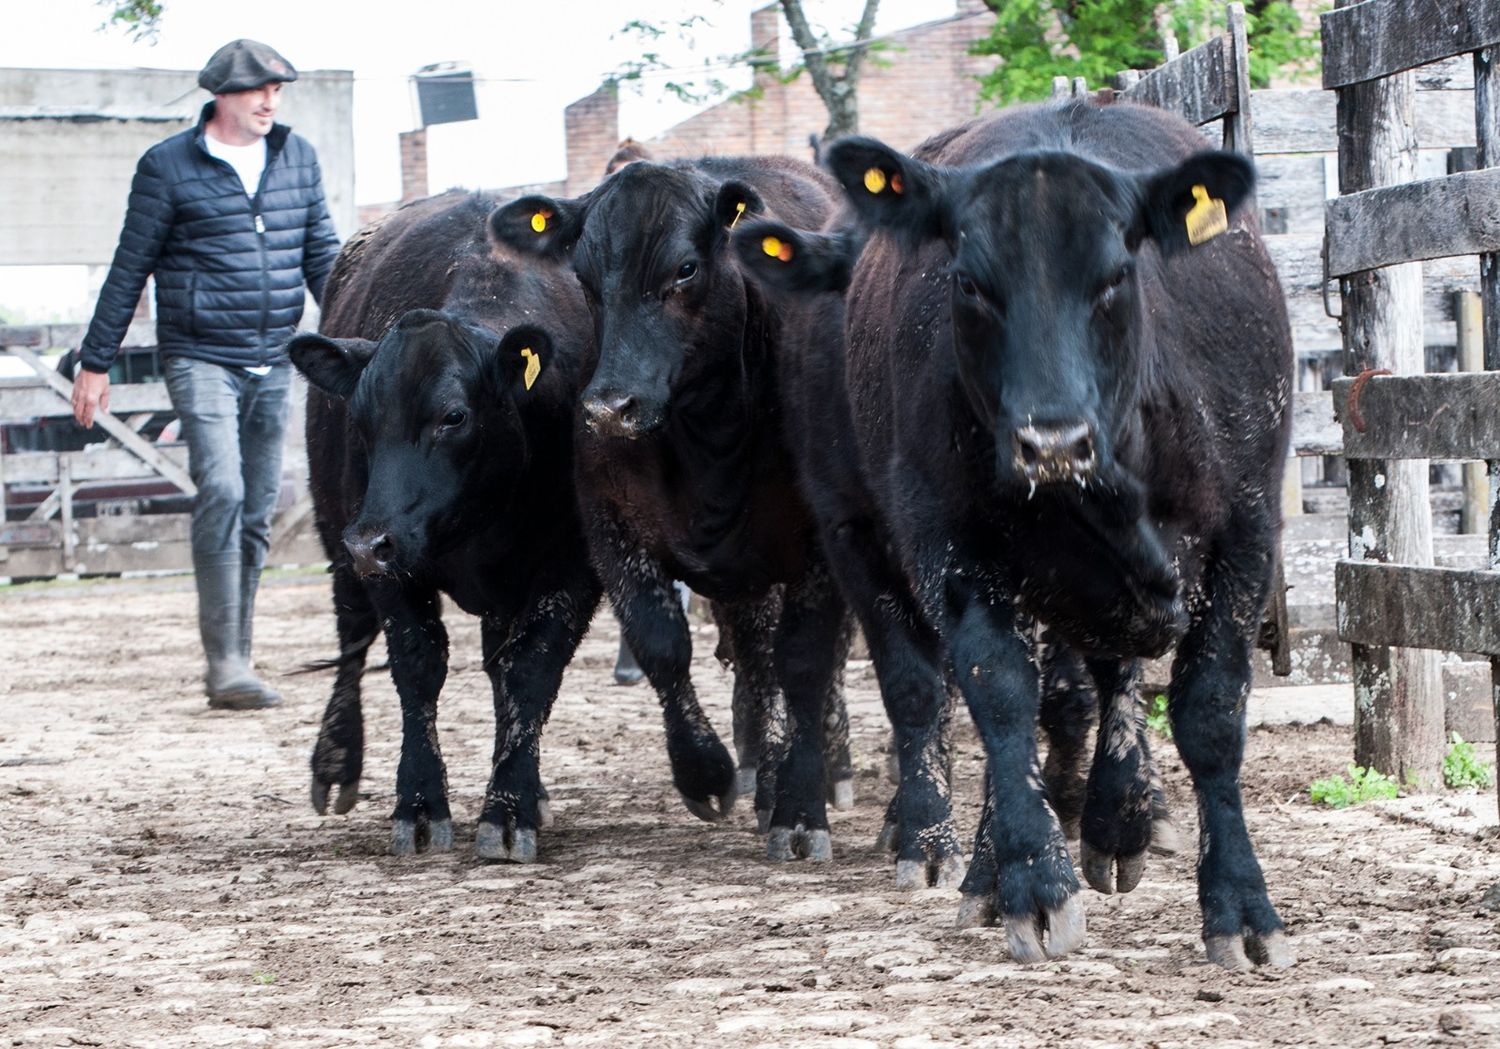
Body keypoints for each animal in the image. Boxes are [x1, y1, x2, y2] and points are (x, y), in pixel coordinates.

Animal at [288, 189, 732, 864]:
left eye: (453, 416)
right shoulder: (391, 564)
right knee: (352, 635)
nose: (369, 542)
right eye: (360, 418)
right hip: (338, 531)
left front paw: (510, 808)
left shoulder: (572, 563)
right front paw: (419, 804)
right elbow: (416, 665)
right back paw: (336, 761)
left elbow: (529, 669)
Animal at [492, 153, 960, 876]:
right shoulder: (610, 525)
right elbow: (663, 643)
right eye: (585, 275)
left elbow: (804, 662)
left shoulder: (821, 541)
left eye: (686, 268)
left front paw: (800, 809)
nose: (610, 407)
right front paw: (706, 771)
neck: (709, 425)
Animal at [738, 102, 1302, 972]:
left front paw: (1240, 903)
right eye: (970, 283)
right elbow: (997, 698)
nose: (1051, 442)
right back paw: (989, 865)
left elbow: (1209, 712)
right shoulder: (947, 549)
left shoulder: (1245, 531)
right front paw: (1033, 883)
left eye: (1116, 275)